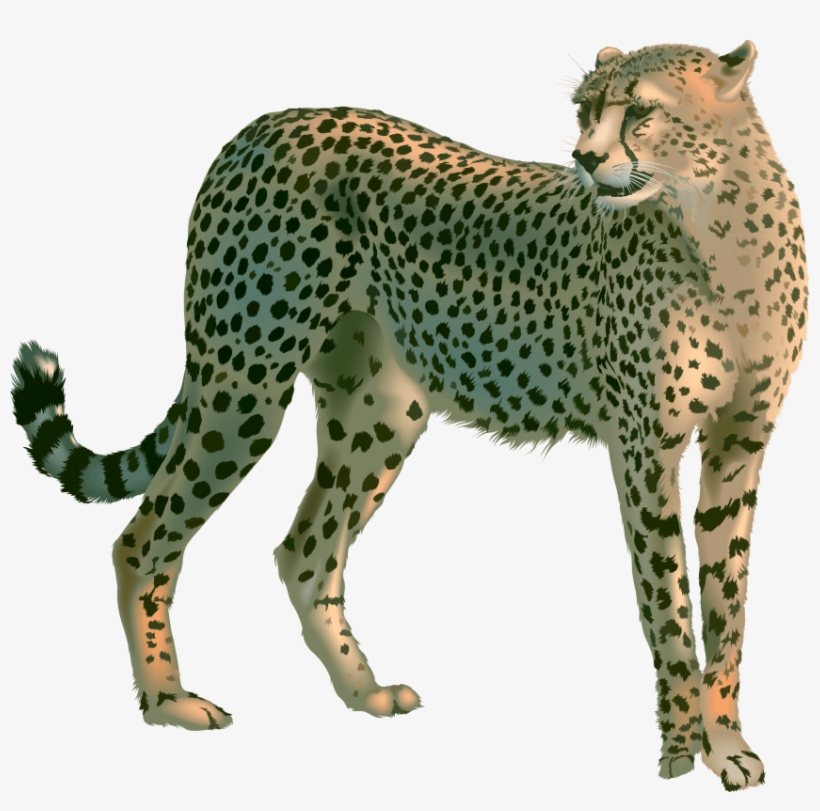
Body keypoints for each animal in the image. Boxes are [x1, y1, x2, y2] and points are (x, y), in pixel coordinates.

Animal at [12, 40, 807, 791]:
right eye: (584, 110)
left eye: (641, 111)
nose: (584, 158)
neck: (719, 231)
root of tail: (267, 124)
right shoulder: (645, 447)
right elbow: (667, 601)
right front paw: (680, 749)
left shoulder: (740, 442)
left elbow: (728, 603)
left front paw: (727, 743)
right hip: (246, 384)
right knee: (142, 538)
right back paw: (167, 699)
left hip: (382, 412)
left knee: (305, 551)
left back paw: (362, 691)